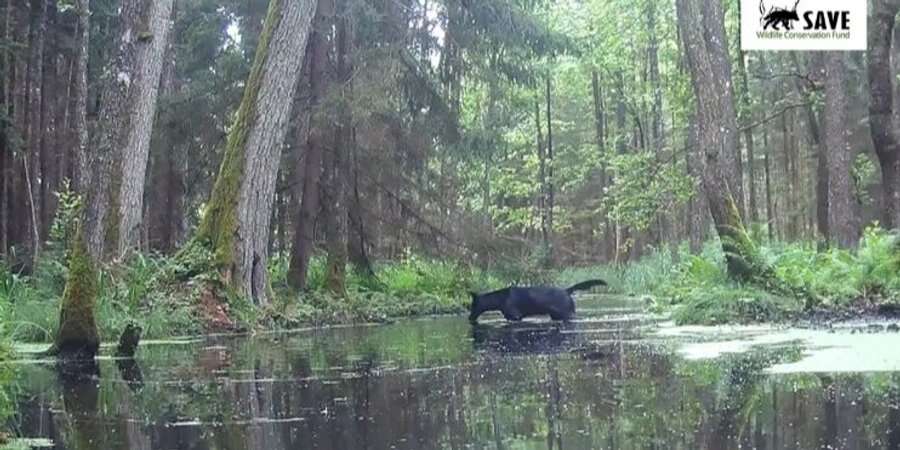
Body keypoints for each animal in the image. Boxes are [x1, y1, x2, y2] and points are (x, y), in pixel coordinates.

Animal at [468, 278, 608, 324]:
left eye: (472, 305)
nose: (469, 318)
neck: (499, 300)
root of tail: (567, 290)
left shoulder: (516, 316)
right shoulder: (510, 317)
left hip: (568, 313)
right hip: (556, 315)